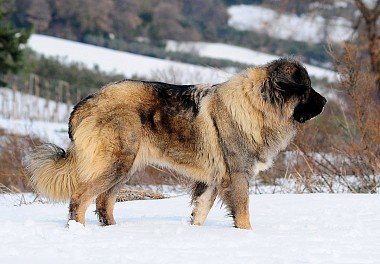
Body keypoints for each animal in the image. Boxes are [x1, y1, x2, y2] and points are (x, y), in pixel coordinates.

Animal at [24, 58, 326, 229]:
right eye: (307, 88)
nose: (324, 101)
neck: (257, 105)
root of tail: (85, 103)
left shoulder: (212, 180)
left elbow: (200, 212)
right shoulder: (238, 176)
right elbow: (243, 215)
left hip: (126, 168)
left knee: (103, 201)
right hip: (115, 164)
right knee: (80, 198)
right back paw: (79, 232)